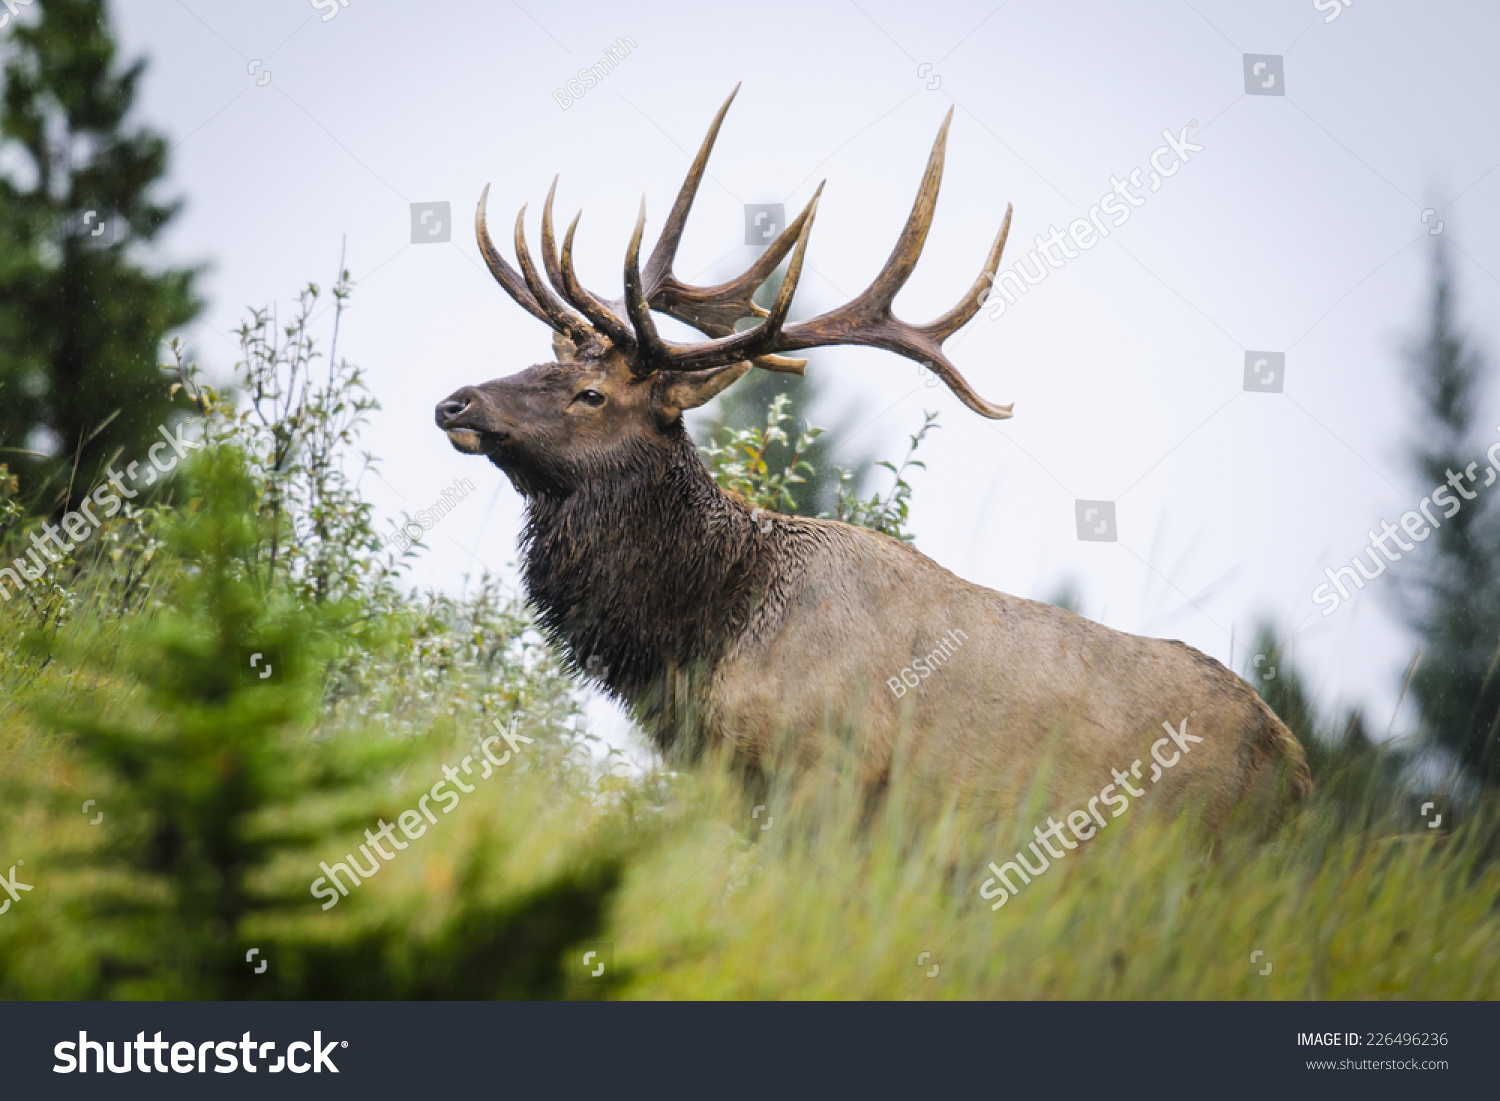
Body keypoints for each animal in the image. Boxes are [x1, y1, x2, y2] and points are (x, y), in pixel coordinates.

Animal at [438, 86, 1314, 822]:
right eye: (543, 360)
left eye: (593, 394)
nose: (457, 402)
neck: (705, 634)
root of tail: (1297, 768)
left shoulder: (828, 769)